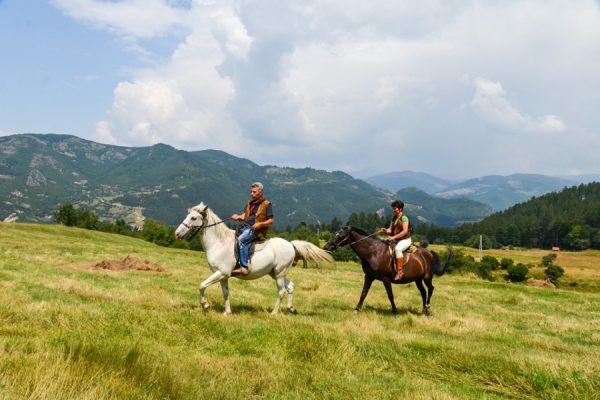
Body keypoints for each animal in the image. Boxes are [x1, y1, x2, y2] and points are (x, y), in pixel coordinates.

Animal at [173, 205, 336, 314]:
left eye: (193, 218)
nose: (177, 234)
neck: (220, 243)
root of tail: (291, 244)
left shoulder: (221, 273)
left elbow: (201, 285)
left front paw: (205, 305)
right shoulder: (223, 276)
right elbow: (225, 293)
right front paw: (227, 312)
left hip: (279, 273)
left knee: (281, 291)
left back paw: (274, 313)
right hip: (275, 273)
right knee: (290, 286)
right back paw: (291, 308)